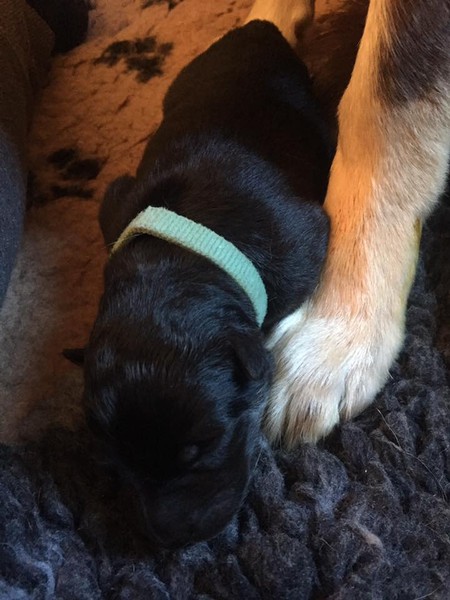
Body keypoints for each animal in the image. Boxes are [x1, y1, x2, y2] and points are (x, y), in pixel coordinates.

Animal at [74, 20, 333, 547]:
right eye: (117, 459)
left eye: (203, 446)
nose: (174, 538)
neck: (178, 257)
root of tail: (256, 27)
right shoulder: (116, 202)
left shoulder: (303, 242)